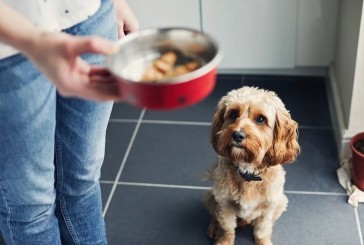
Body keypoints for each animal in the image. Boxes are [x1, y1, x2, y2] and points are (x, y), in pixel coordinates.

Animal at [203, 86, 300, 245]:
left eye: (261, 119)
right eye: (233, 114)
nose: (237, 135)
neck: (248, 173)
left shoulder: (268, 207)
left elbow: (262, 229)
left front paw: (263, 241)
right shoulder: (224, 204)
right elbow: (227, 228)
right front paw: (224, 240)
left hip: (281, 202)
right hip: (210, 197)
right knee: (215, 216)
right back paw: (214, 227)